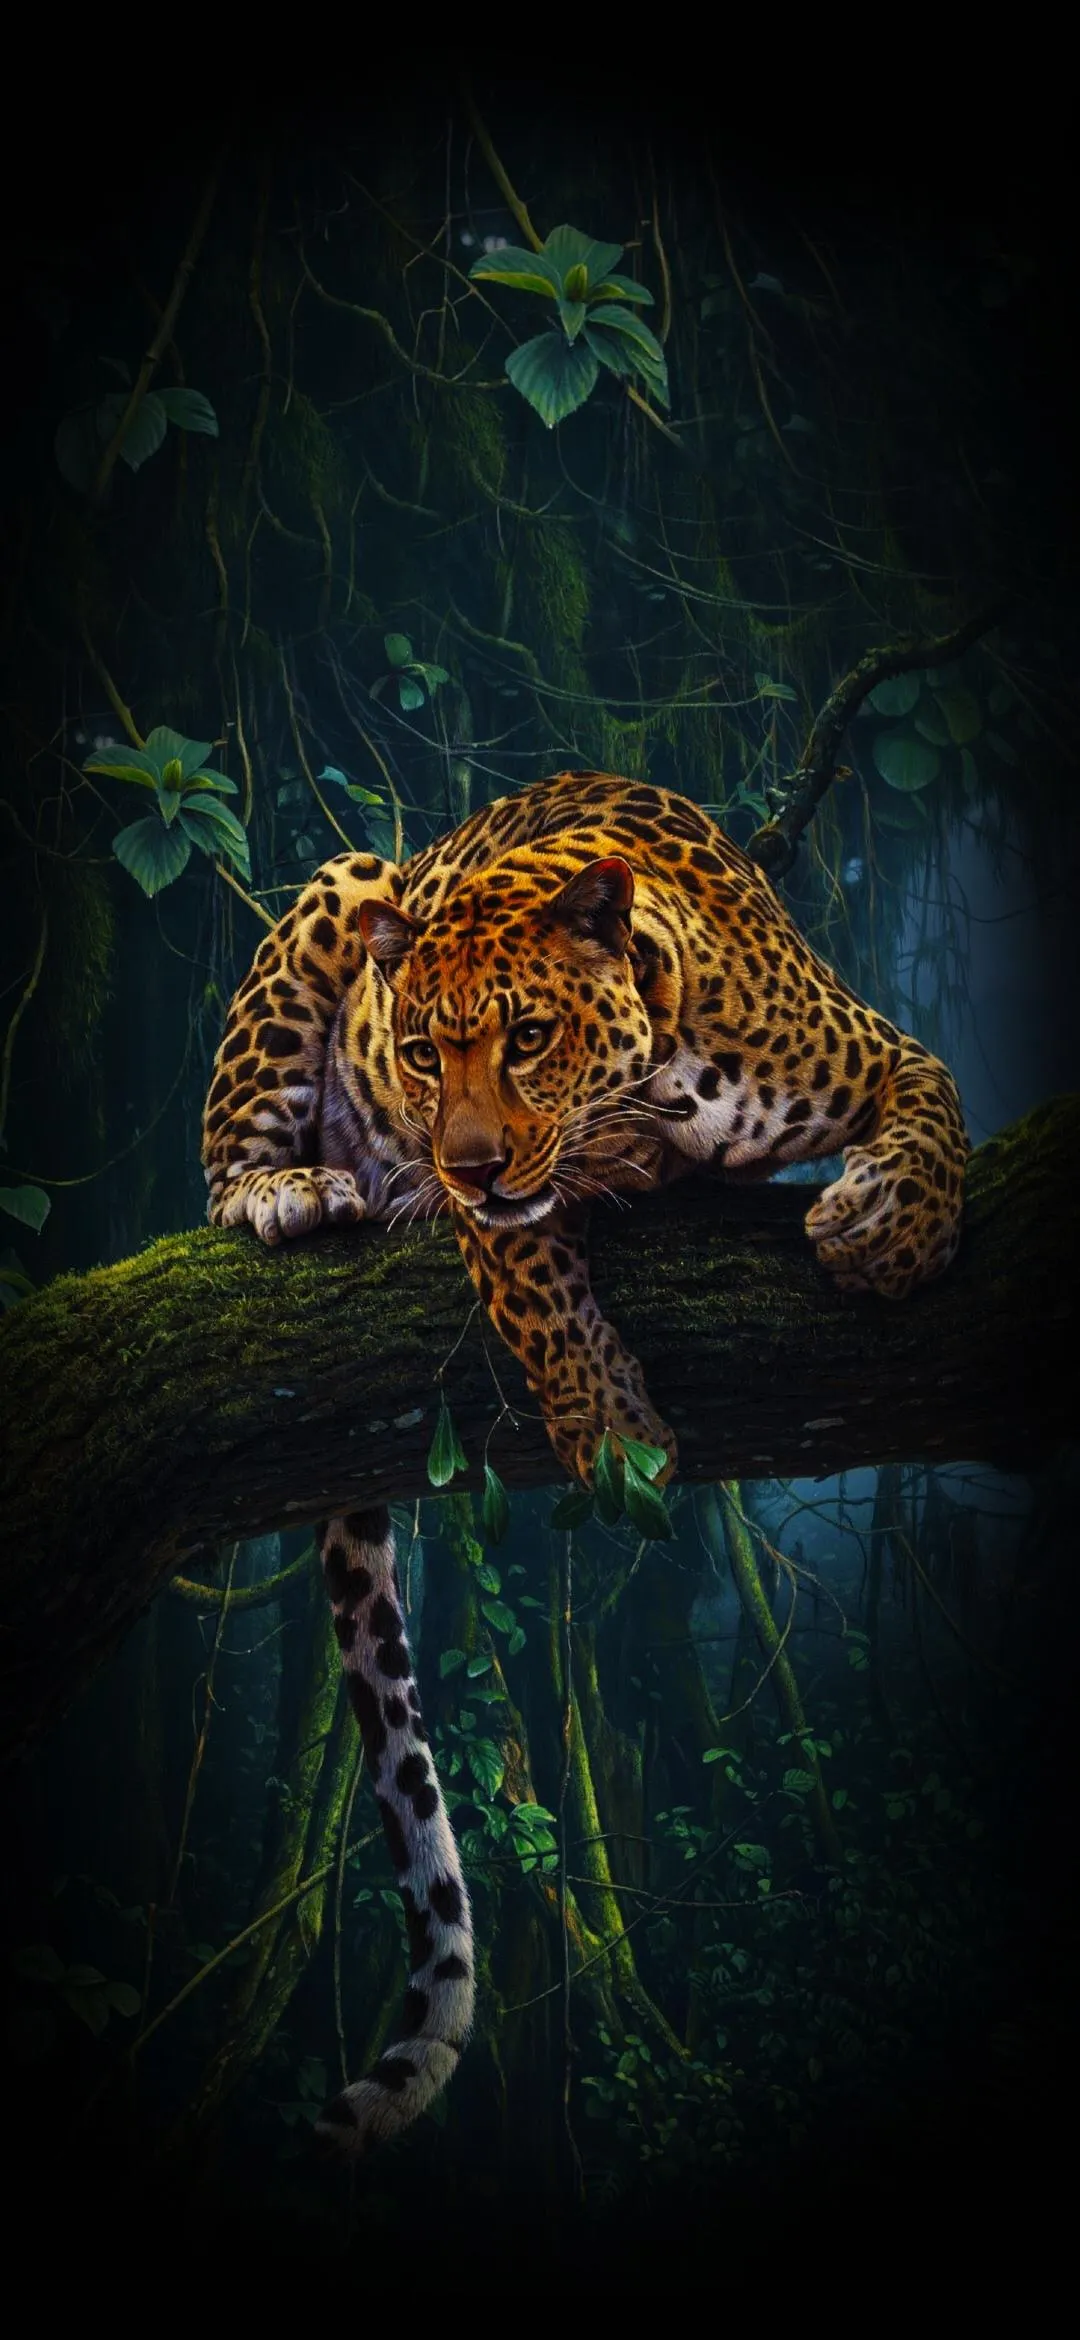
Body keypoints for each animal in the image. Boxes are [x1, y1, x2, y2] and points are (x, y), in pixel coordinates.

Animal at [201, 768, 968, 2154]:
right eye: (417, 1051)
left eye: (525, 1037)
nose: (460, 1159)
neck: (666, 1076)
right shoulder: (500, 1215)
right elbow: (542, 1298)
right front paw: (616, 1441)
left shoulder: (874, 1047)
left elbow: (936, 1101)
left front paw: (890, 1230)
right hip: (340, 885)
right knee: (221, 1166)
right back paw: (291, 1190)